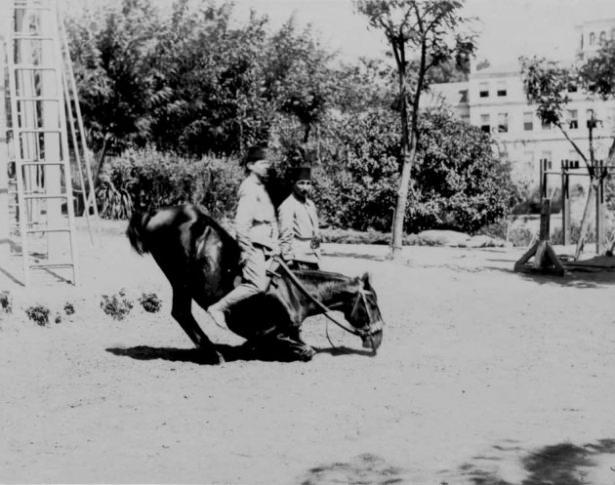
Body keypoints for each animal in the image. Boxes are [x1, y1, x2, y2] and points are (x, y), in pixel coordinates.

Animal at [125, 201, 384, 364]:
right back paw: (213, 354)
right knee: (181, 313)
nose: (379, 337)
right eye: (372, 303)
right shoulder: (272, 333)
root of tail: (153, 214)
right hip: (180, 280)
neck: (293, 293)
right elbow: (305, 350)